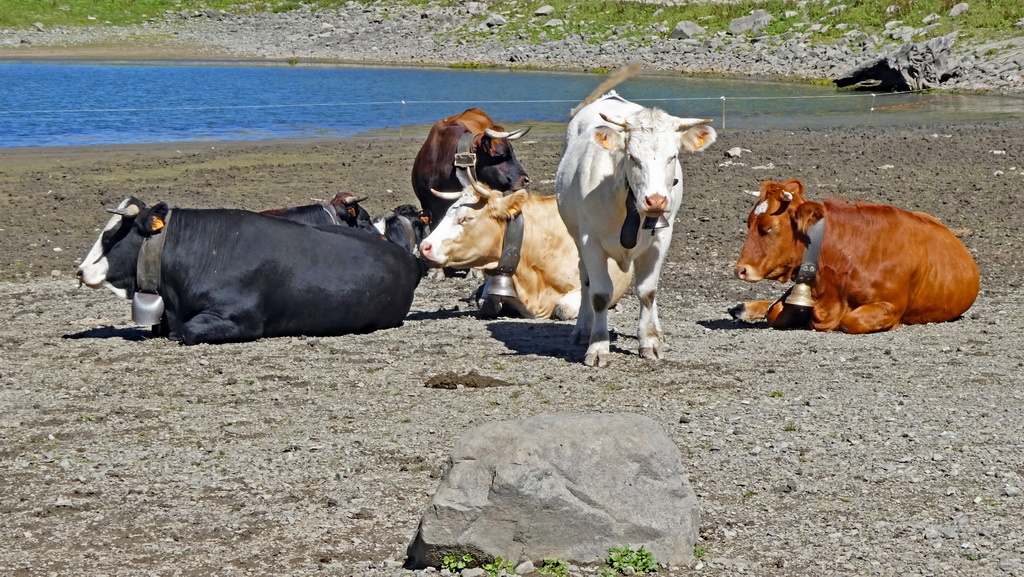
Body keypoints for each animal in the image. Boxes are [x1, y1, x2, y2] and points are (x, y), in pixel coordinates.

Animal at [557, 92, 716, 368]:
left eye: (673, 156)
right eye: (632, 157)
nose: (656, 201)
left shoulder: (661, 239)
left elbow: (647, 291)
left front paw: (650, 341)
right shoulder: (590, 241)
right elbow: (599, 294)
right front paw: (598, 346)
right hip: (576, 237)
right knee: (585, 280)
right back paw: (582, 330)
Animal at [733, 179, 978, 334]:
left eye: (768, 228)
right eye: (748, 223)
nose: (740, 270)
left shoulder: (891, 306)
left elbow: (851, 320)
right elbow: (775, 312)